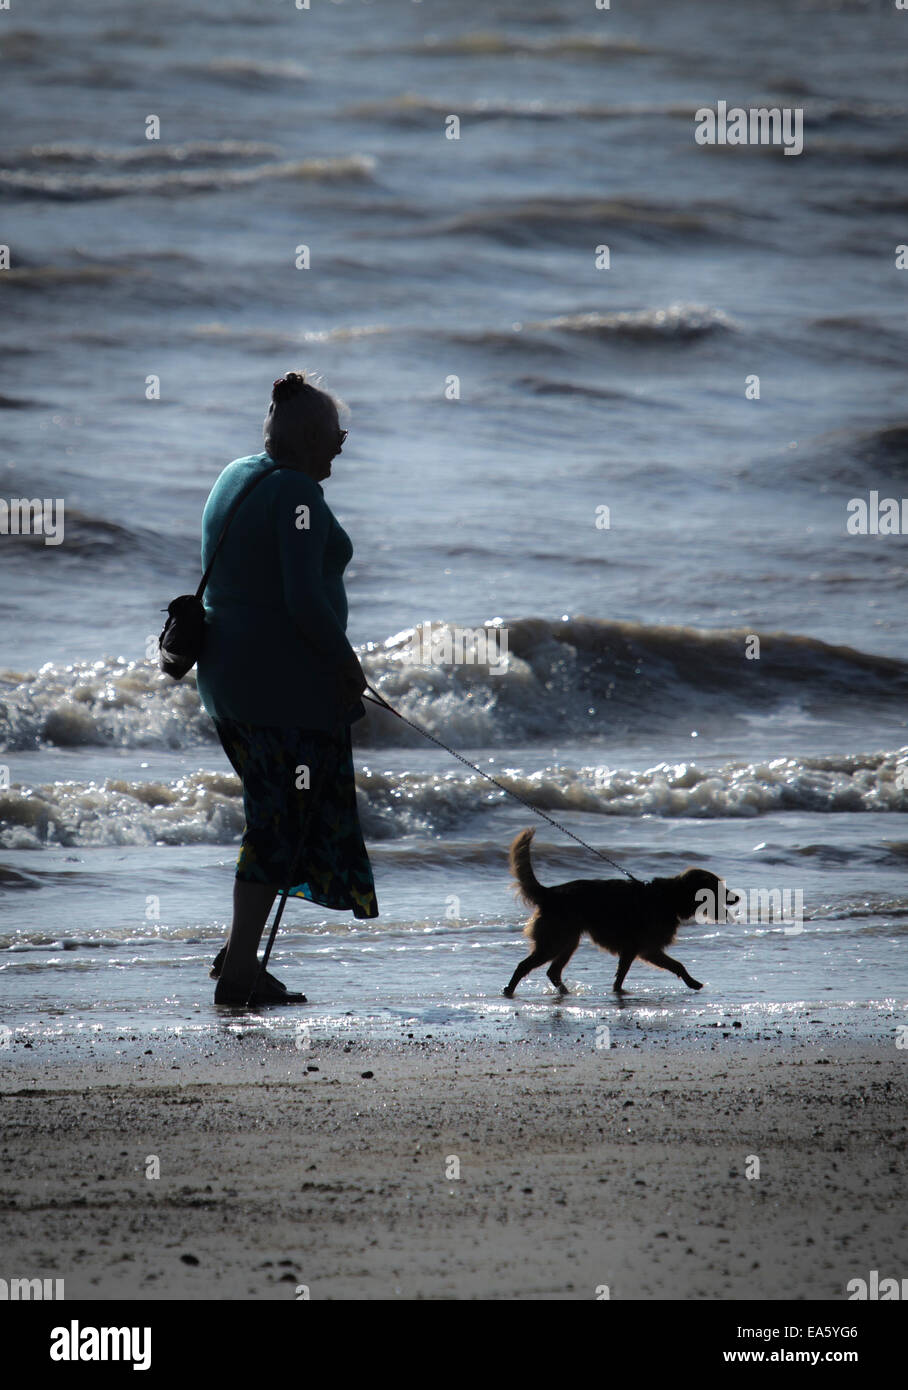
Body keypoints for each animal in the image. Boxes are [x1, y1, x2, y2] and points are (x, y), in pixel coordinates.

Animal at [503, 822, 734, 1000]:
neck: (669, 898)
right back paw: (510, 990)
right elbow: (676, 965)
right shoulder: (645, 948)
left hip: (568, 941)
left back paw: (564, 992)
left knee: (553, 971)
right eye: (718, 888)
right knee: (524, 966)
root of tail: (550, 892)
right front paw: (692, 982)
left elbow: (627, 974)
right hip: (554, 941)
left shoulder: (635, 949)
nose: (737, 897)